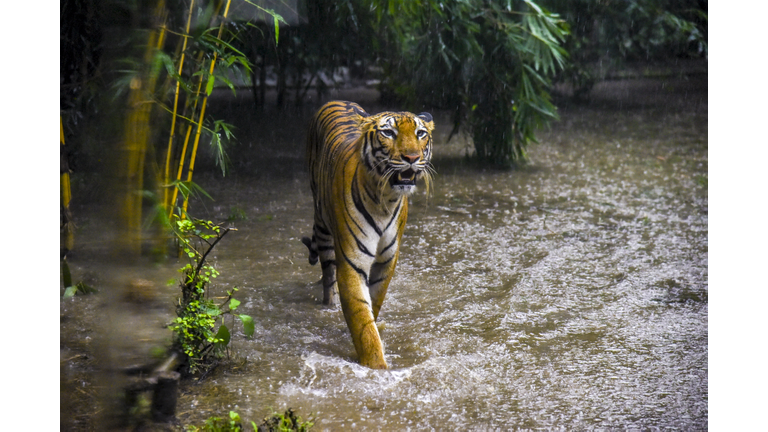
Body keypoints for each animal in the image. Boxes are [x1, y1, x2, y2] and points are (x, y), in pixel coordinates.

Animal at [301, 100, 435, 369]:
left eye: (420, 134)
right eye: (389, 133)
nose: (412, 158)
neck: (385, 200)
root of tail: (337, 101)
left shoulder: (387, 261)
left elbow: (374, 302)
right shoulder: (352, 262)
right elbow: (362, 321)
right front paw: (377, 368)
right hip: (323, 226)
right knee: (328, 276)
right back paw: (329, 303)